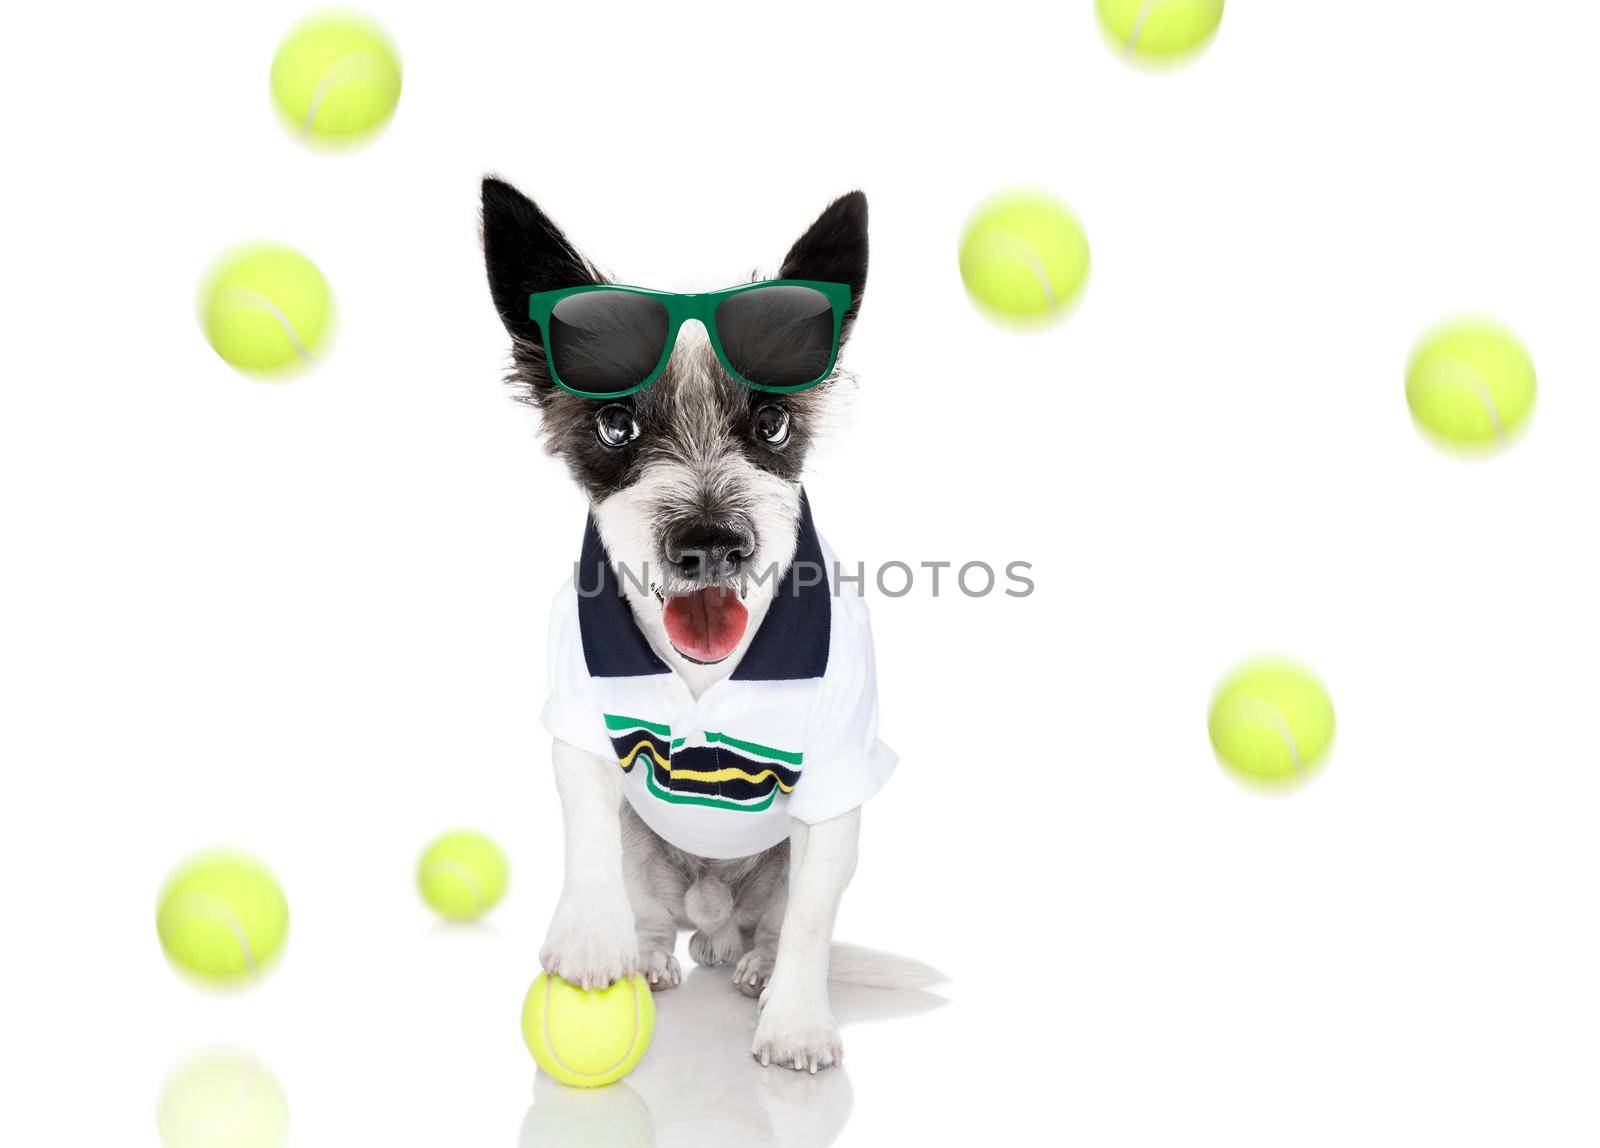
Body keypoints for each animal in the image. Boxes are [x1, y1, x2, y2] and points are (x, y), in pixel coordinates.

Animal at [476, 175, 928, 1074]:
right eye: (616, 426)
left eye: (772, 426)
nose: (713, 542)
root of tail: (715, 915)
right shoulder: (577, 728)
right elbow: (586, 827)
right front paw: (593, 938)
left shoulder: (836, 793)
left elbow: (811, 925)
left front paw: (796, 1020)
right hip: (646, 854)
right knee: (647, 901)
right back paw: (651, 951)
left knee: (779, 927)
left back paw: (755, 966)